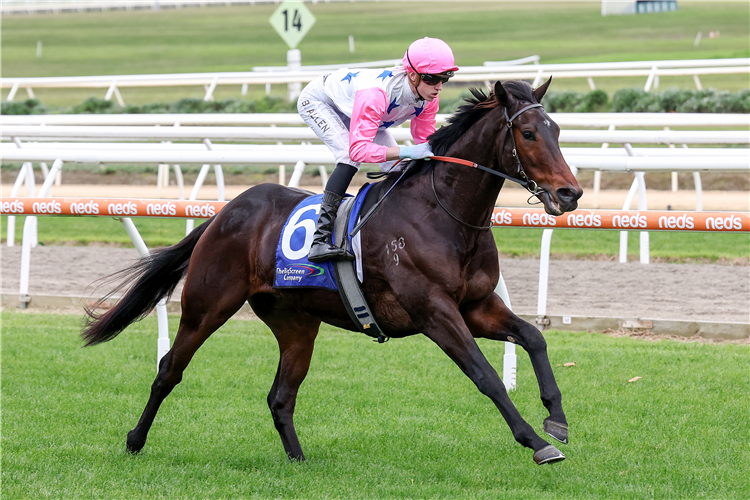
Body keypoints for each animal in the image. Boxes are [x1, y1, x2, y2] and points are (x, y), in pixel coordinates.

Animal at [83, 78, 588, 464]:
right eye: (528, 133)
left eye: (558, 129)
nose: (570, 193)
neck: (442, 213)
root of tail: (226, 212)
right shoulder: (434, 312)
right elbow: (485, 376)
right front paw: (537, 442)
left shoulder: (477, 306)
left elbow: (534, 338)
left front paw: (556, 420)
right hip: (208, 304)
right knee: (170, 368)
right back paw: (134, 441)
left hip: (296, 323)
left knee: (280, 395)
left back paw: (298, 460)